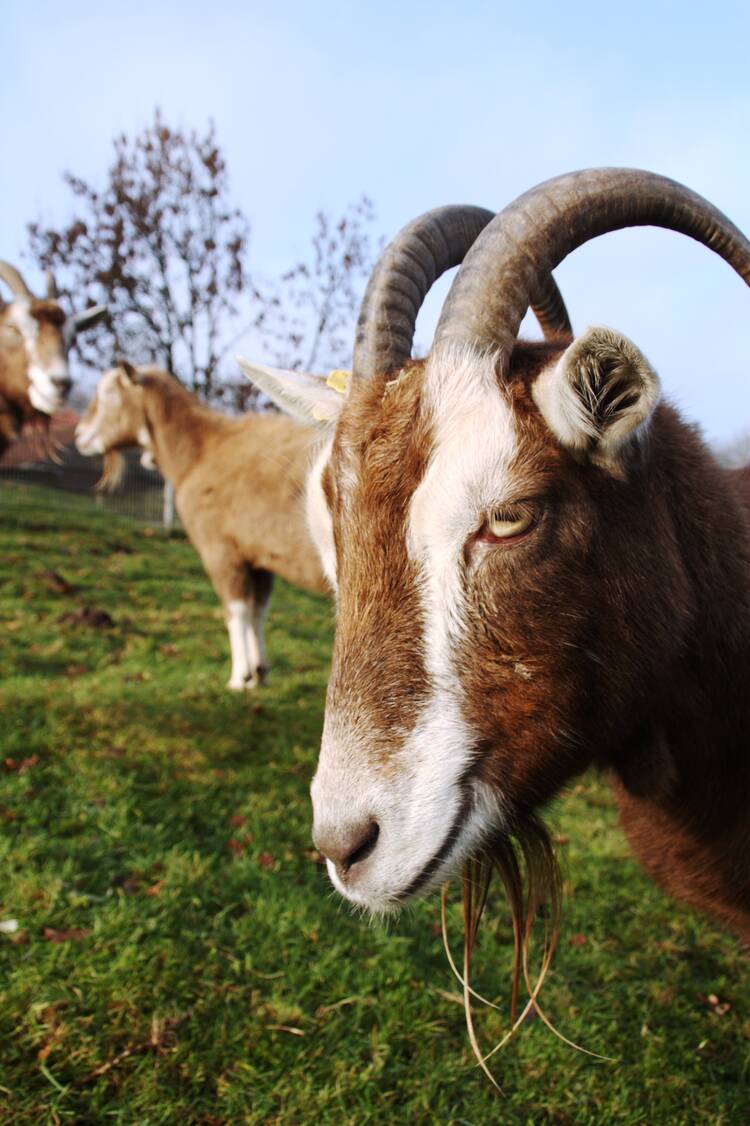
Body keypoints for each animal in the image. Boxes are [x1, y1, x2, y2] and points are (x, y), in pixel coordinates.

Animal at [76, 364, 331, 689]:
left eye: (109, 393)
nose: (79, 435)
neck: (201, 451)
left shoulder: (220, 550)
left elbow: (235, 611)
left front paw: (240, 677)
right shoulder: (258, 556)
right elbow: (257, 611)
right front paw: (259, 673)